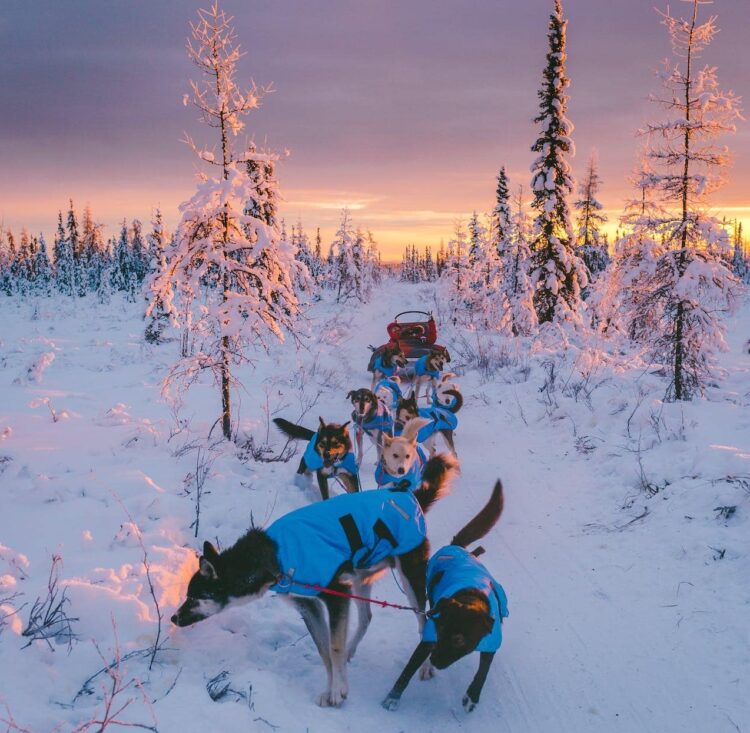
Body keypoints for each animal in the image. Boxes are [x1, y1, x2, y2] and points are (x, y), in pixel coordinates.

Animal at [173, 458, 462, 704]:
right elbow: (325, 652)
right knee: (366, 617)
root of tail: (410, 497)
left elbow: (333, 647)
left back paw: (425, 666)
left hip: (410, 581)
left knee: (424, 624)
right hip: (359, 581)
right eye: (187, 595)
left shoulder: (335, 596)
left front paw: (338, 692)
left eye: (194, 597)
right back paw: (351, 650)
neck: (274, 556)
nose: (173, 618)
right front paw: (333, 686)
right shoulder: (309, 607)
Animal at [384, 478, 508, 712]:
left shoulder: (491, 644)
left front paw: (472, 696)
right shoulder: (429, 638)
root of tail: (457, 546)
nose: (434, 660)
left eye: (458, 639)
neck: (470, 595)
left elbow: (483, 671)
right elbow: (408, 670)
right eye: (440, 629)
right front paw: (392, 698)